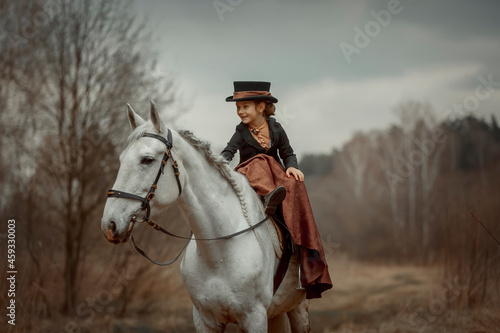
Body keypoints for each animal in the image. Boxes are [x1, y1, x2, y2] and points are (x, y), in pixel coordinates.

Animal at [100, 102, 312, 332]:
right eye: (121, 160)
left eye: (147, 160)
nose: (110, 224)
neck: (218, 253)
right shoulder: (205, 320)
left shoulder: (254, 318)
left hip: (298, 309)